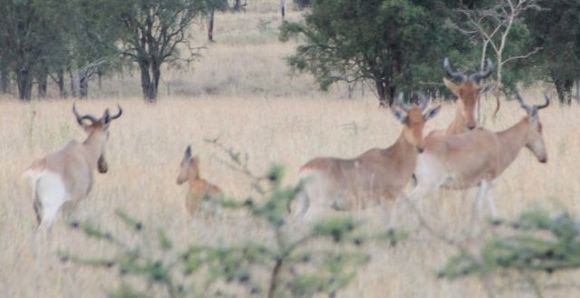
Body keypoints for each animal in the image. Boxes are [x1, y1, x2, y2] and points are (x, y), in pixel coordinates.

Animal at [296, 92, 442, 220]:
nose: (420, 148)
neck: (392, 157)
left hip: (304, 203)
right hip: (319, 205)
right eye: (406, 120)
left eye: (423, 120)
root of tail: (304, 169)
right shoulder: (387, 200)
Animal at [412, 92, 548, 218]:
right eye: (539, 127)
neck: (497, 140)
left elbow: (492, 209)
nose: (544, 157)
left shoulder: (485, 184)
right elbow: (478, 208)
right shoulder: (485, 180)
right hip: (427, 184)